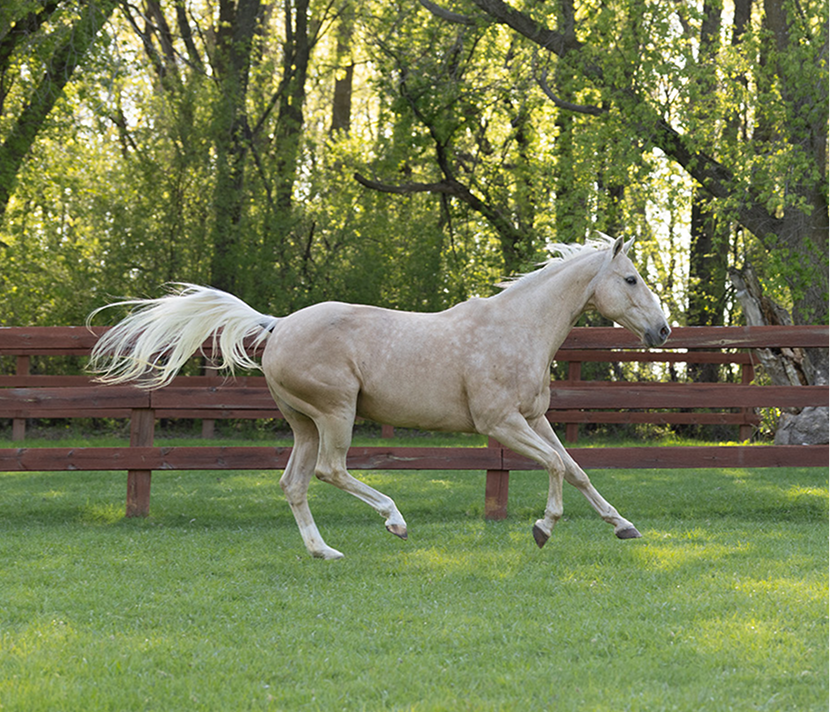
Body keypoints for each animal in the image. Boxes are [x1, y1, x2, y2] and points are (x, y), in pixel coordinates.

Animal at [88, 234, 670, 559]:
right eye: (631, 279)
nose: (663, 330)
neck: (516, 327)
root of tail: (277, 325)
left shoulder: (534, 417)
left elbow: (575, 469)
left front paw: (624, 526)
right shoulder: (500, 422)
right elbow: (553, 466)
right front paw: (543, 529)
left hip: (303, 423)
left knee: (294, 483)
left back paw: (324, 552)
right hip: (336, 412)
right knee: (331, 471)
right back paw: (395, 521)